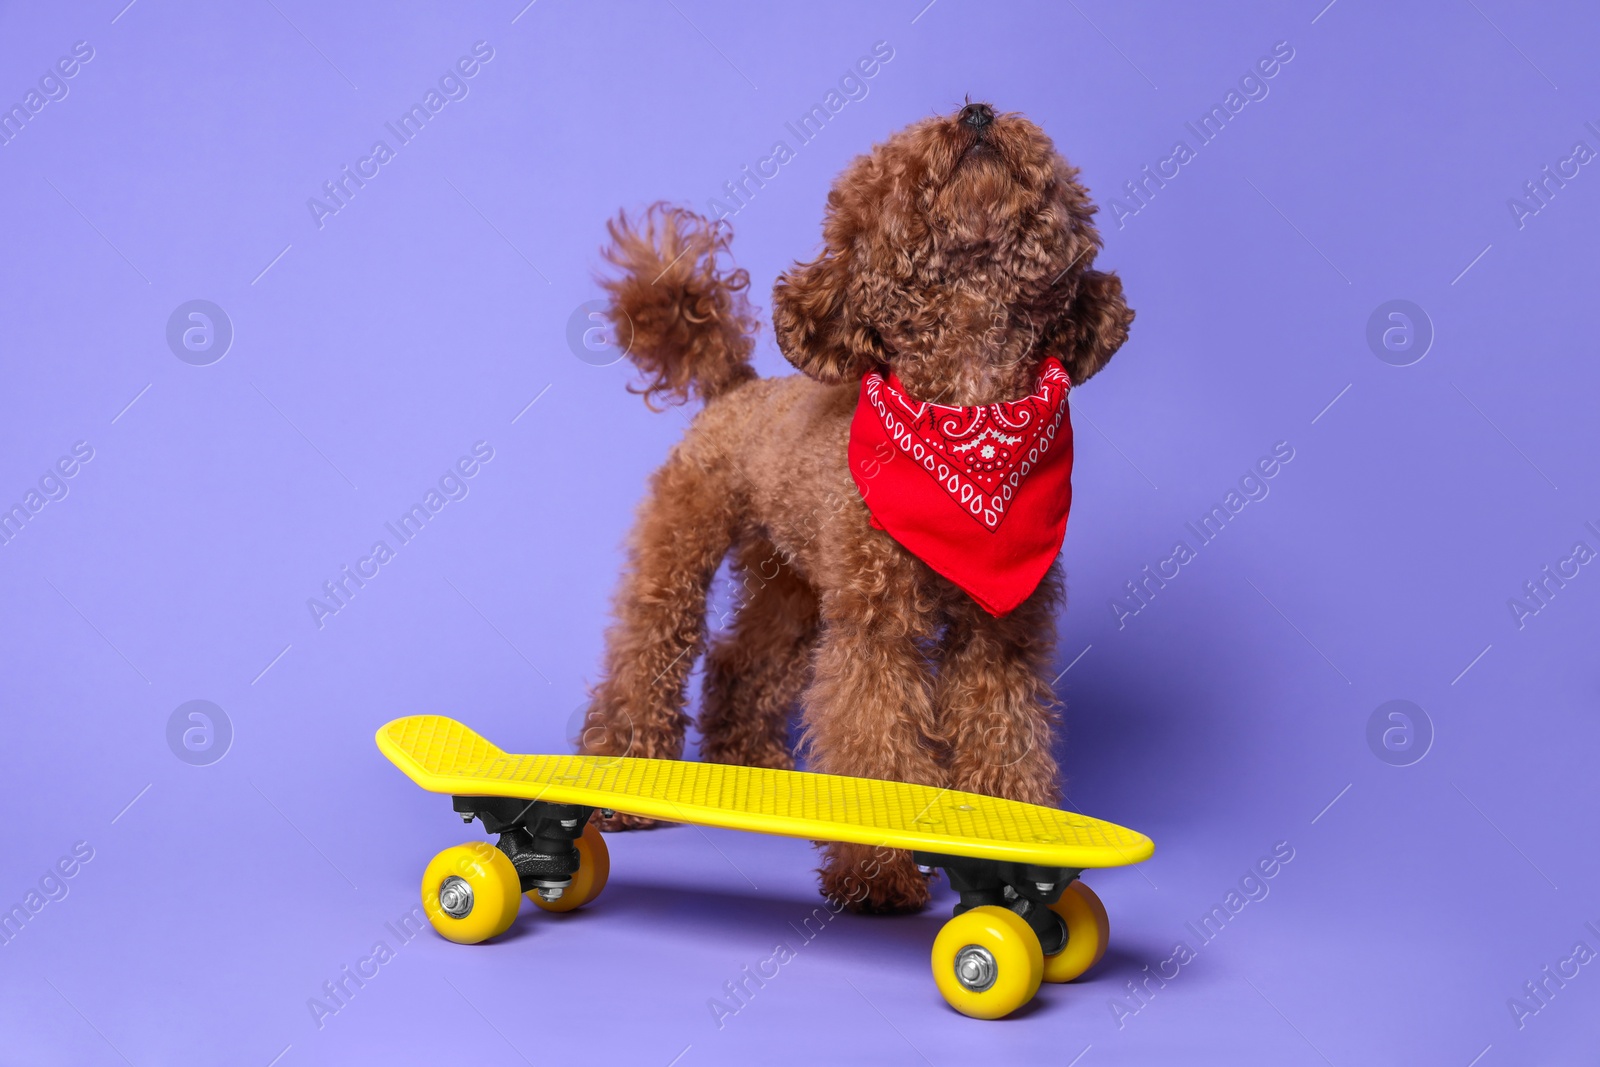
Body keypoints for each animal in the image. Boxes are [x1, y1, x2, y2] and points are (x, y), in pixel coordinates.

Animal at [582, 103, 1132, 915]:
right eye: (904, 166)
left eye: (1048, 169)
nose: (975, 112)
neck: (971, 418)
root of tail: (738, 387)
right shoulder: (877, 630)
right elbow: (876, 737)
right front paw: (879, 872)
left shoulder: (1001, 632)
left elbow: (1005, 732)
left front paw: (1010, 844)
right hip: (684, 546)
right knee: (648, 650)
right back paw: (621, 778)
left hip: (793, 581)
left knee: (742, 661)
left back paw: (752, 762)